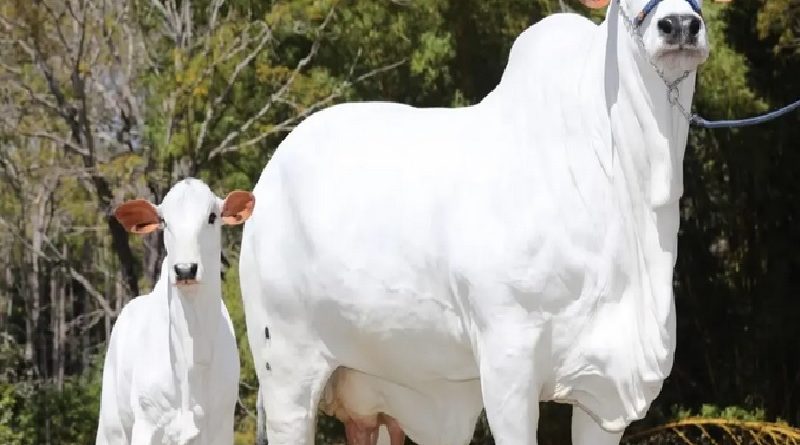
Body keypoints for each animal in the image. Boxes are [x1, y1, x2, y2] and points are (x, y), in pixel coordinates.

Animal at [96, 178, 254, 445]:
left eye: (212, 216)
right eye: (164, 221)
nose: (185, 269)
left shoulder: (221, 428)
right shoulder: (146, 425)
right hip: (112, 427)